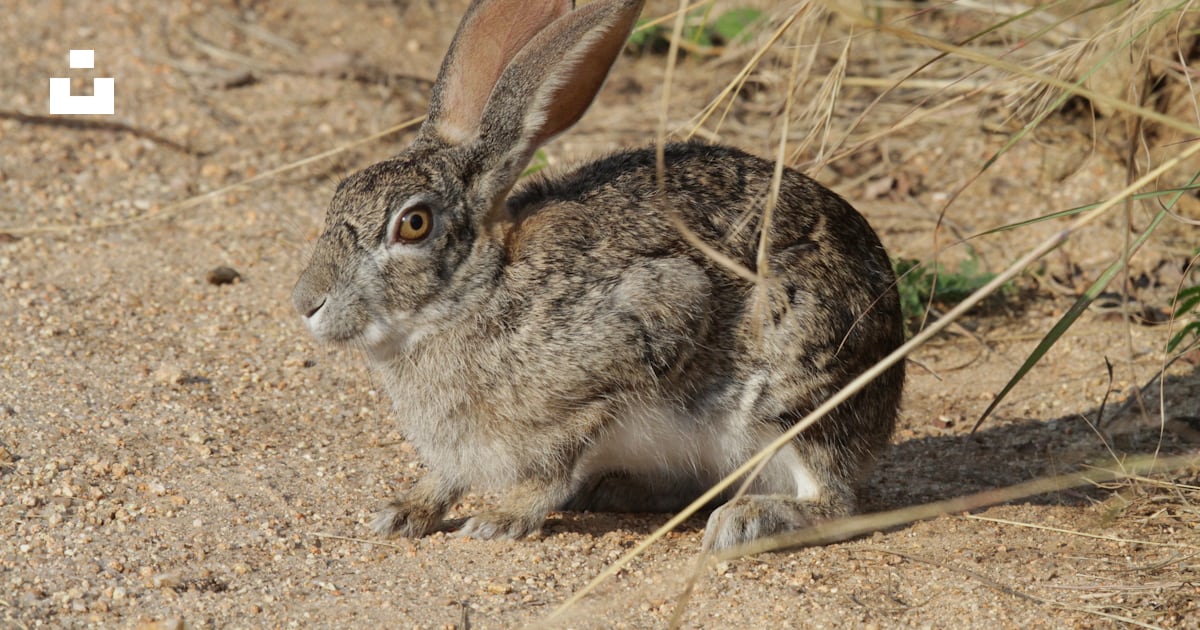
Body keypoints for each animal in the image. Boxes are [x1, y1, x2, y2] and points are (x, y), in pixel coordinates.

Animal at [291, 0, 905, 551]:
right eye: (340, 191)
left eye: (414, 224)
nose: (306, 303)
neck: (477, 289)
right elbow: (447, 477)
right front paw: (404, 510)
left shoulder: (633, 343)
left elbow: (560, 462)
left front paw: (501, 519)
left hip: (793, 392)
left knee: (833, 501)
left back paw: (744, 521)